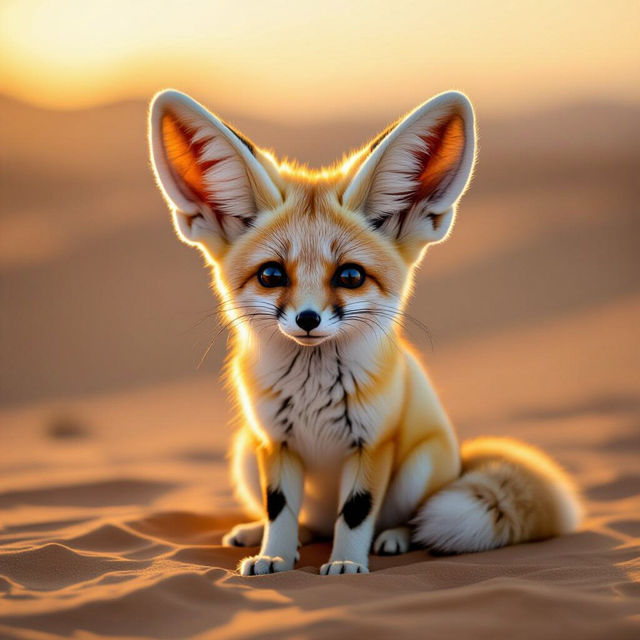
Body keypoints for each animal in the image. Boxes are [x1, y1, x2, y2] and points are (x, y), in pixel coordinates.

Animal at [148, 89, 581, 575]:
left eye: (350, 276)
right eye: (272, 275)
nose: (308, 319)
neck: (312, 396)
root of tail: (460, 456)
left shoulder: (372, 443)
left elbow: (356, 514)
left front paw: (346, 564)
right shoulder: (275, 441)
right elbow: (279, 510)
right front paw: (274, 555)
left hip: (416, 468)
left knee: (408, 517)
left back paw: (395, 538)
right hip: (244, 451)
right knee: (310, 523)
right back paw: (270, 535)